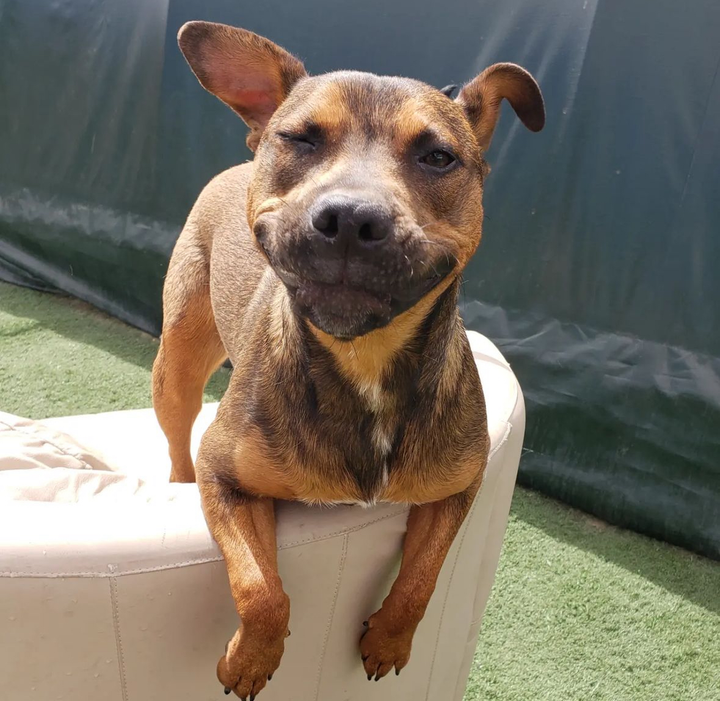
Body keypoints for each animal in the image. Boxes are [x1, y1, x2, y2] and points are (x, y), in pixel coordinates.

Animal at [153, 19, 544, 696]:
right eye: (301, 139)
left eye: (438, 156)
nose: (350, 218)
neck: (365, 359)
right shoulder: (224, 477)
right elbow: (259, 587)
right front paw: (251, 658)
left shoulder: (457, 488)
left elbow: (422, 579)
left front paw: (389, 639)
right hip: (175, 367)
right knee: (179, 448)